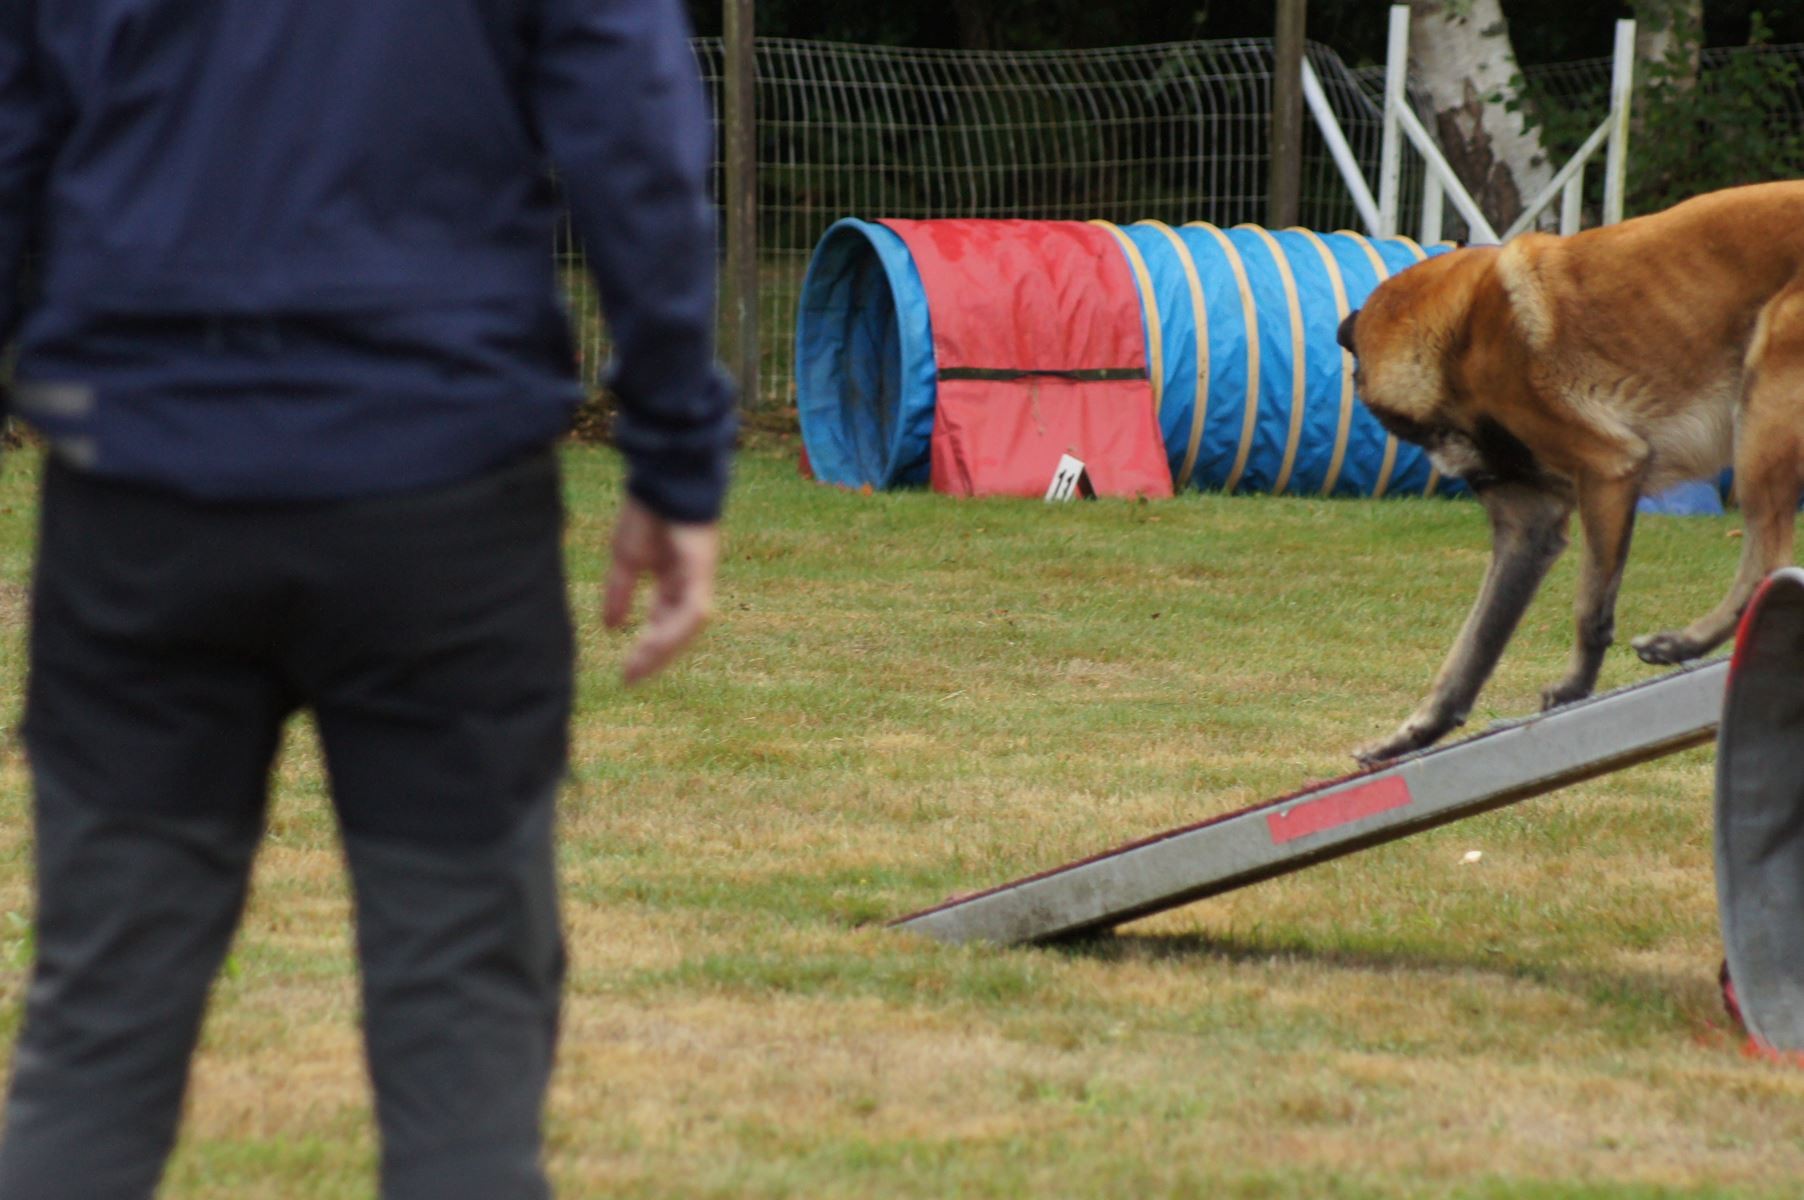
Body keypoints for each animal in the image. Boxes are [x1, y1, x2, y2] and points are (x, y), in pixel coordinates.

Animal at [1334, 180, 1804, 757]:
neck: (1457, 338)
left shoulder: (1608, 469)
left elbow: (1590, 610)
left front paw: (1575, 687)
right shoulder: (1526, 531)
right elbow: (1471, 650)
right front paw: (1412, 734)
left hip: (1761, 413)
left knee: (1767, 559)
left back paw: (1680, 643)